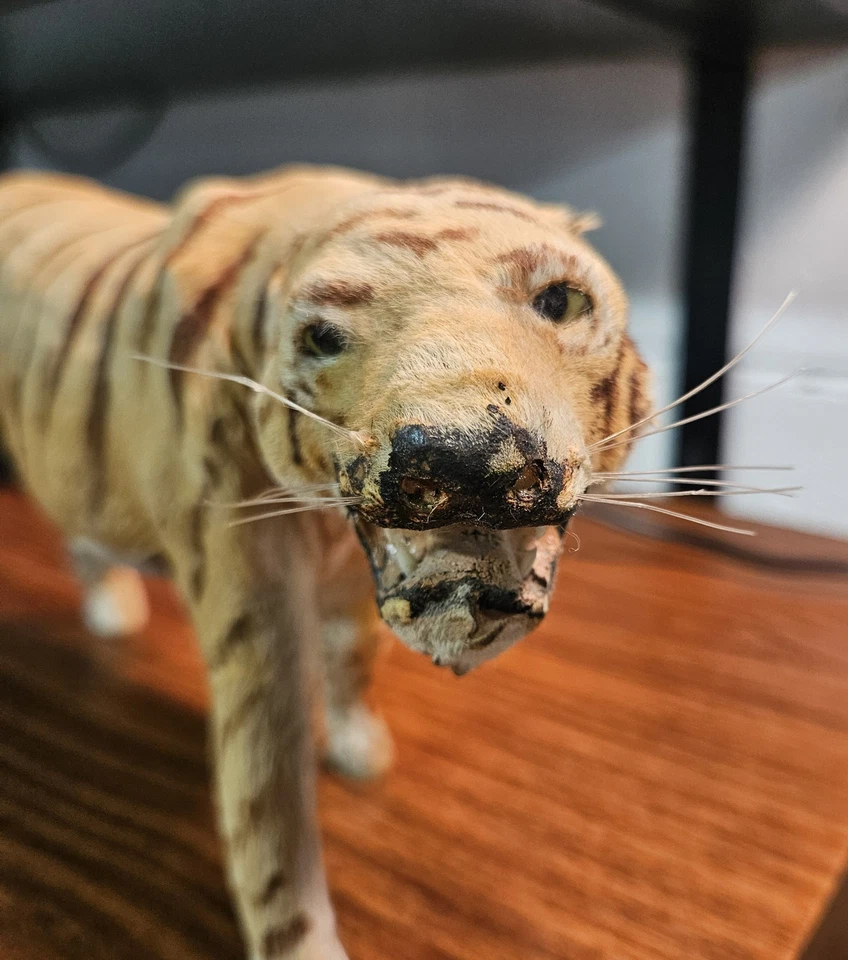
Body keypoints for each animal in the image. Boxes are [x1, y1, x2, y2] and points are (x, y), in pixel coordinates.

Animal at [0, 164, 649, 960]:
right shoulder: (252, 612)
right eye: (323, 337)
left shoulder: (351, 580)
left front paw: (358, 747)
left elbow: (354, 657)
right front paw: (302, 942)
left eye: (559, 300)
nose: (463, 463)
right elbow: (268, 813)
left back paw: (112, 610)